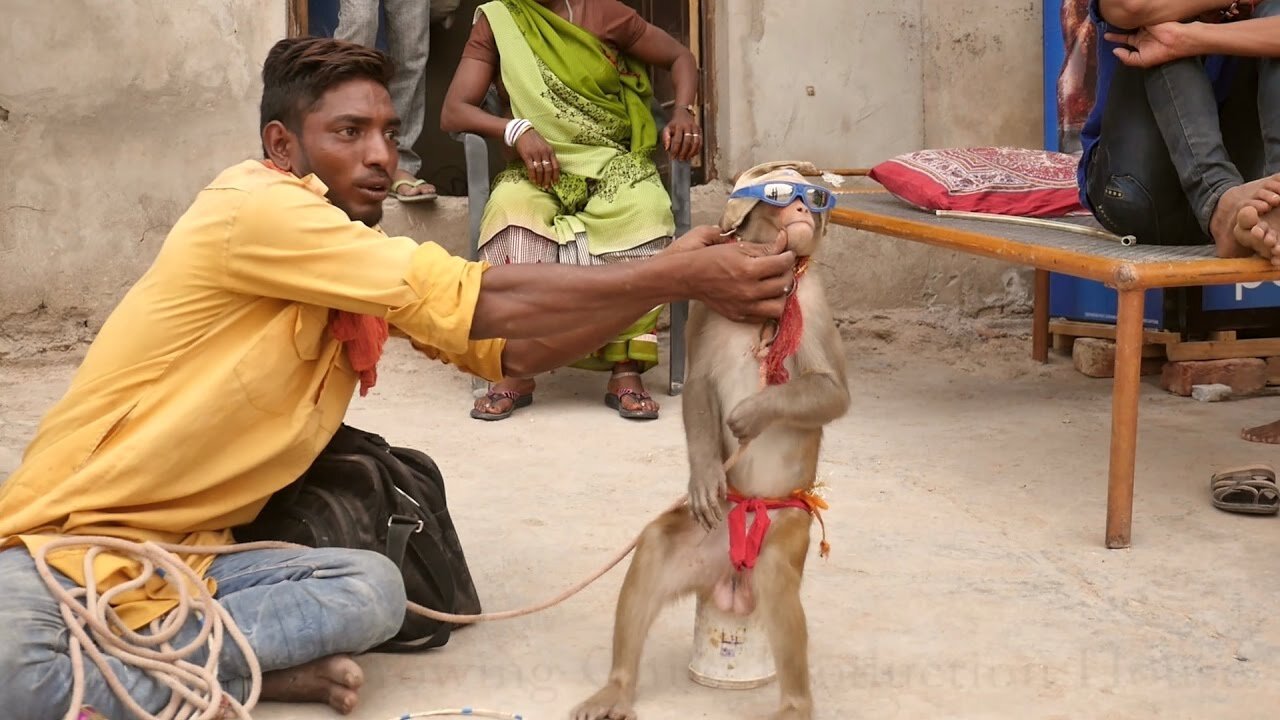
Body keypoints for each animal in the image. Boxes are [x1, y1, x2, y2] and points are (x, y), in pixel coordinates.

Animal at [570, 162, 849, 717]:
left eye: (816, 197)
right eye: (780, 193)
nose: (802, 207)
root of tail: (730, 577)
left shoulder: (812, 300)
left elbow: (833, 392)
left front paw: (753, 414)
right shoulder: (705, 303)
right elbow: (697, 383)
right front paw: (702, 475)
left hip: (784, 529)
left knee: (776, 578)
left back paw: (795, 704)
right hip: (704, 540)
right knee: (655, 547)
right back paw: (617, 686)